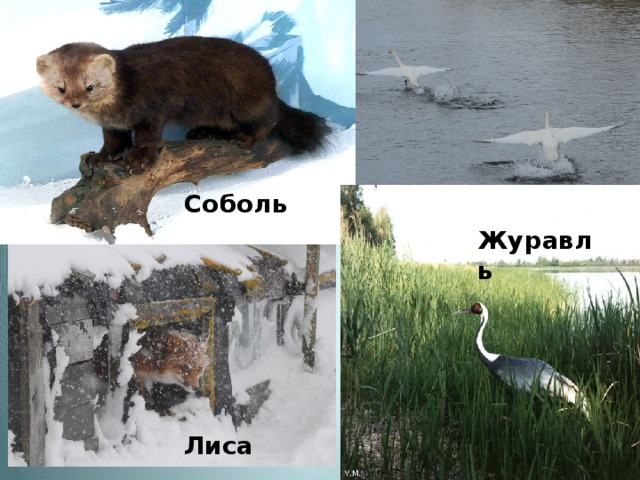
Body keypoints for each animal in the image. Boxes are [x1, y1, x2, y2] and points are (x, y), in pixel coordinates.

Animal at [36, 37, 330, 174]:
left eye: (90, 86)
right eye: (60, 86)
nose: (75, 103)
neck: (112, 111)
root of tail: (270, 81)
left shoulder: (151, 110)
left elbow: (148, 138)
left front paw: (138, 160)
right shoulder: (113, 125)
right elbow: (113, 142)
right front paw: (101, 157)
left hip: (248, 101)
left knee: (270, 118)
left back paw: (244, 138)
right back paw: (203, 132)